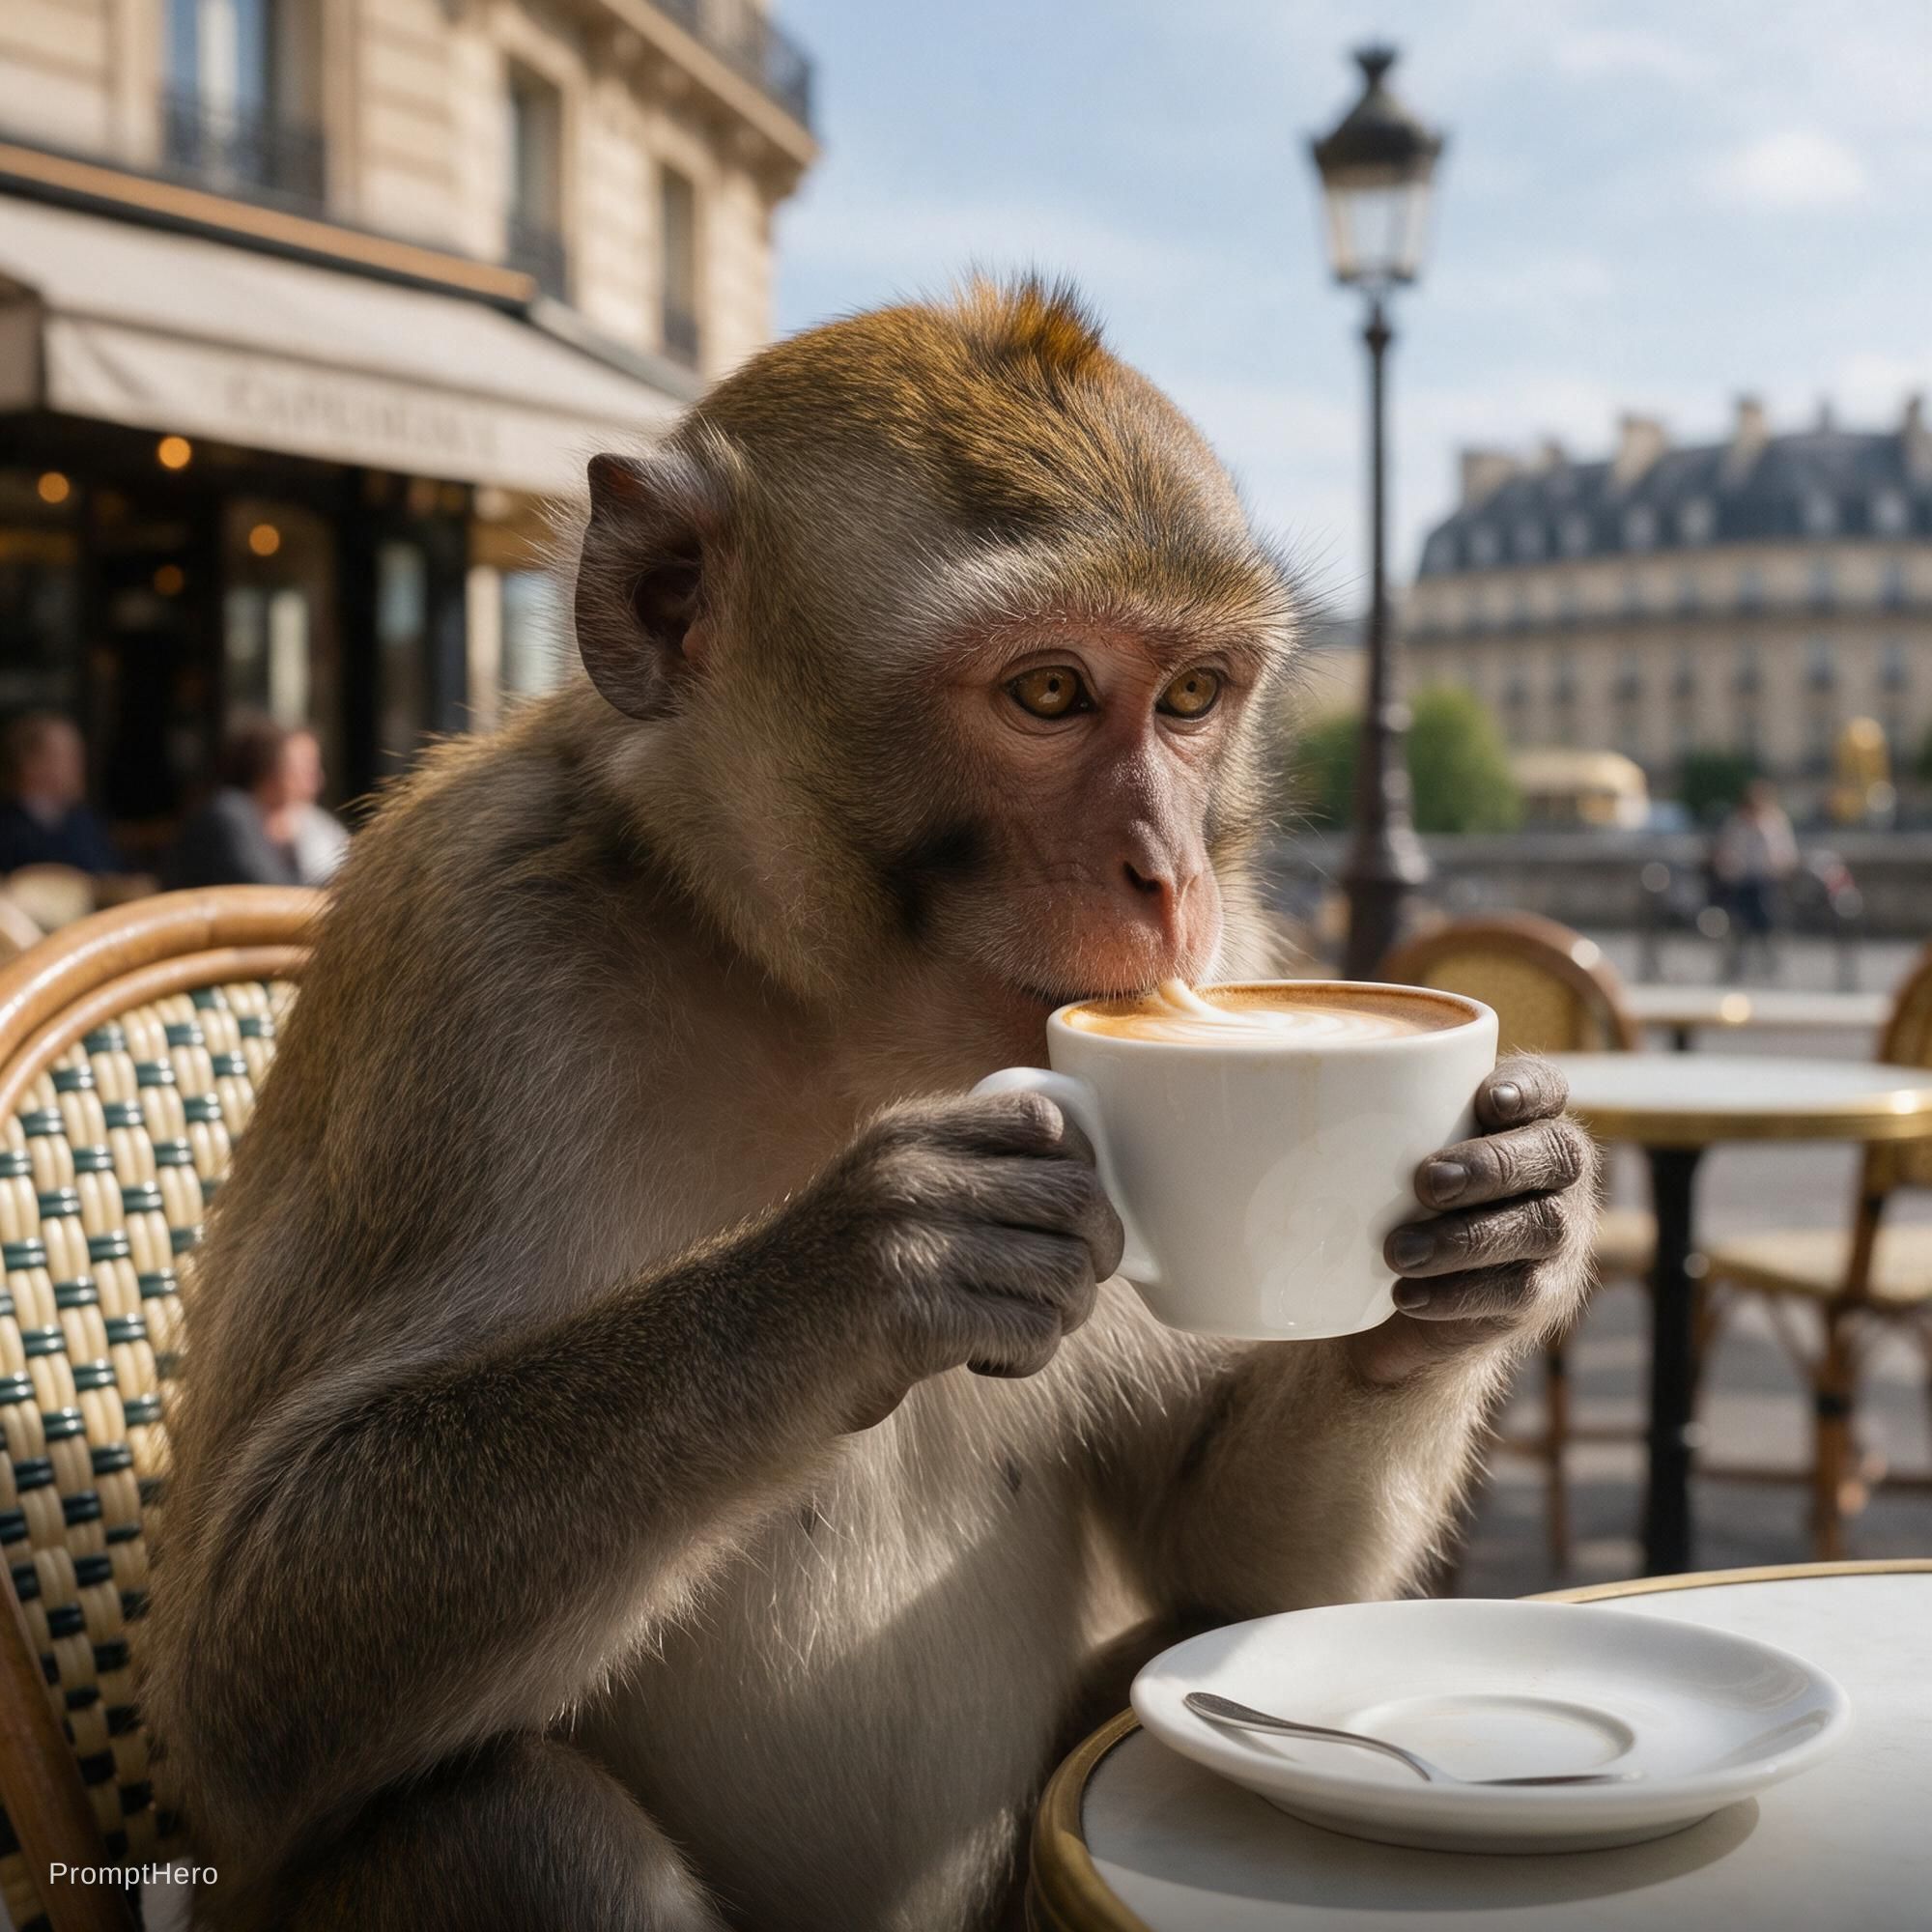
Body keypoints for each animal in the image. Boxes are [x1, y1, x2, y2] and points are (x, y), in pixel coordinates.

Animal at [143, 279, 1598, 1932]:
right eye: (1048, 691)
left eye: (1191, 697)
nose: (1171, 874)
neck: (807, 1002)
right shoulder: (465, 943)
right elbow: (242, 1657)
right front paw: (865, 1264)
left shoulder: (1245, 962)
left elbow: (1230, 1572)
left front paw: (1506, 1229)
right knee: (497, 1815)